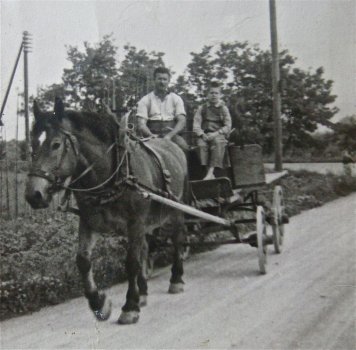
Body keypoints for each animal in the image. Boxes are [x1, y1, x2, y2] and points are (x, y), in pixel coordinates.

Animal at [24, 97, 189, 324]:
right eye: (32, 143)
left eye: (56, 144)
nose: (34, 194)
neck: (112, 175)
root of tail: (169, 143)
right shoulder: (89, 222)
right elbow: (83, 260)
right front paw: (99, 302)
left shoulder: (135, 222)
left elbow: (131, 263)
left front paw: (130, 307)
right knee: (146, 248)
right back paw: (143, 292)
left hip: (176, 208)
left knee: (177, 239)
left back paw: (176, 279)